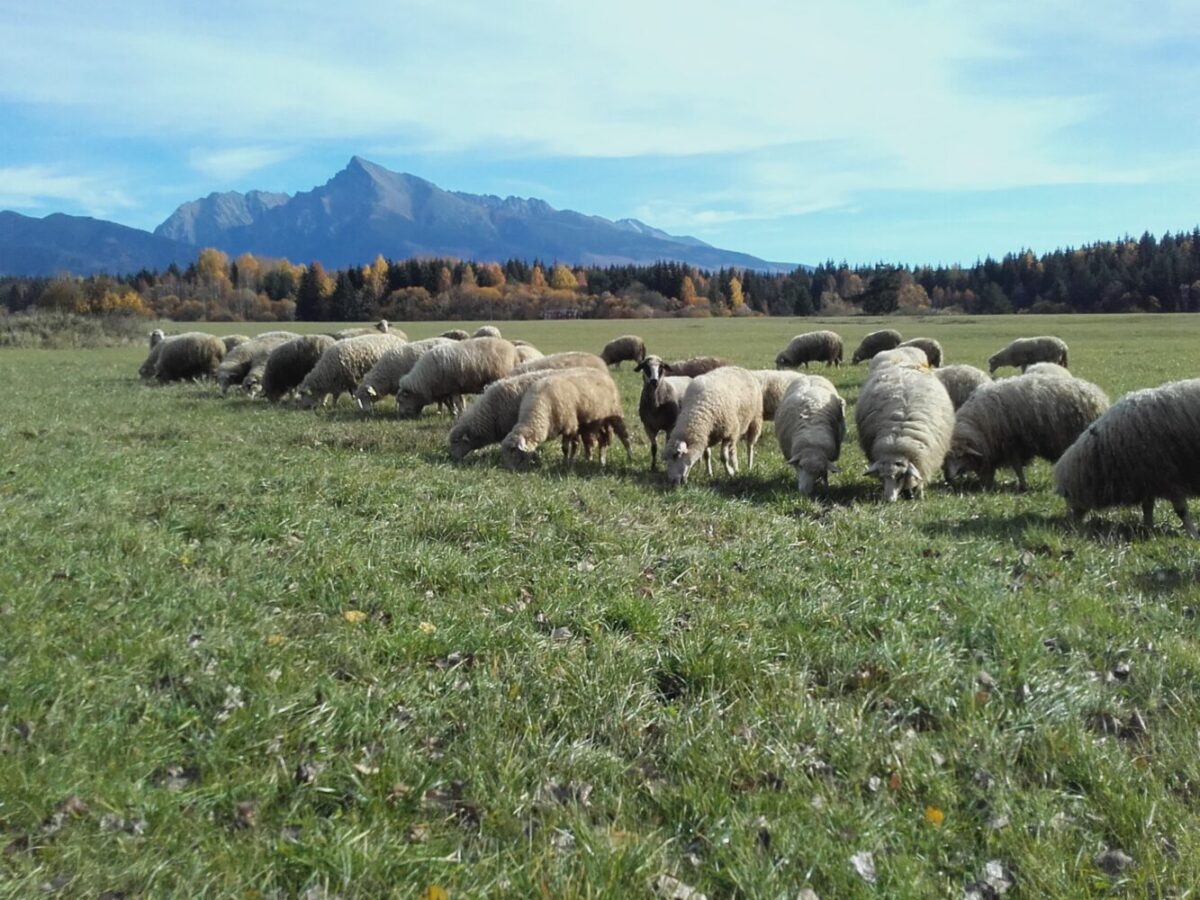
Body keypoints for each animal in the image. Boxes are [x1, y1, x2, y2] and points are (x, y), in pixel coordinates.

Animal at [496, 367, 633, 468]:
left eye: (513, 450)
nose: (510, 470)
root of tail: (605, 375)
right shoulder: (574, 426)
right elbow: (575, 445)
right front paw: (571, 461)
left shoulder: (570, 426)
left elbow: (566, 448)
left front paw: (566, 463)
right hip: (595, 423)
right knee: (602, 441)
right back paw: (600, 462)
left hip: (616, 415)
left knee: (624, 437)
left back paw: (630, 457)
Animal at [859, 367, 950, 508]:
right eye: (882, 476)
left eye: (900, 476)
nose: (889, 500)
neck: (897, 440)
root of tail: (902, 367)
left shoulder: (924, 461)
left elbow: (920, 479)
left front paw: (918, 494)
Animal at [940, 369, 1108, 489]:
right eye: (945, 458)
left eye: (959, 456)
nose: (947, 478)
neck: (979, 423)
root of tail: (1098, 395)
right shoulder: (994, 446)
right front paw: (987, 483)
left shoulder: (1012, 443)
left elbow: (1017, 467)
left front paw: (1022, 486)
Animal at [1051, 379, 1200, 540]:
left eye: (1067, 496)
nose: (1070, 526)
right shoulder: (1148, 478)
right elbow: (1147, 506)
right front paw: (1149, 530)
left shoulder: (1169, 475)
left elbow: (1181, 510)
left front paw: (1193, 534)